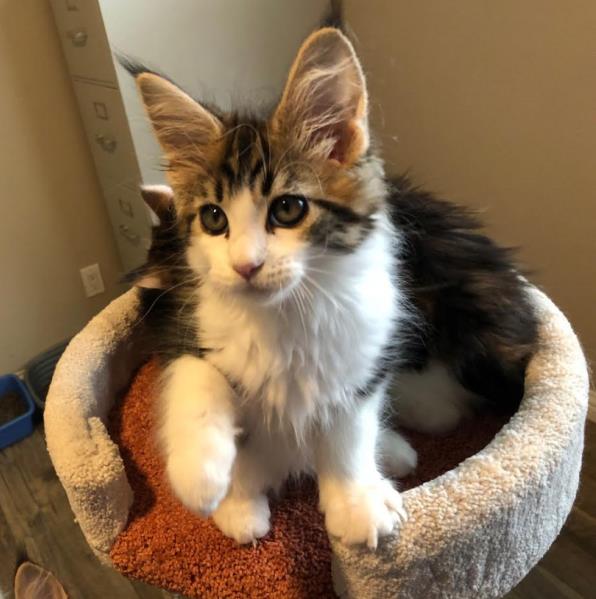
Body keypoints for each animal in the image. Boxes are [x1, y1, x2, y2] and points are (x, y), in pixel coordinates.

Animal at [123, 30, 536, 552]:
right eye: (214, 218)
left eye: (288, 209)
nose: (245, 266)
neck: (285, 317)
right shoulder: (185, 327)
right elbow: (199, 380)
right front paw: (213, 487)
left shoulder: (363, 355)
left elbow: (349, 432)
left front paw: (355, 503)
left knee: (440, 406)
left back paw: (396, 449)